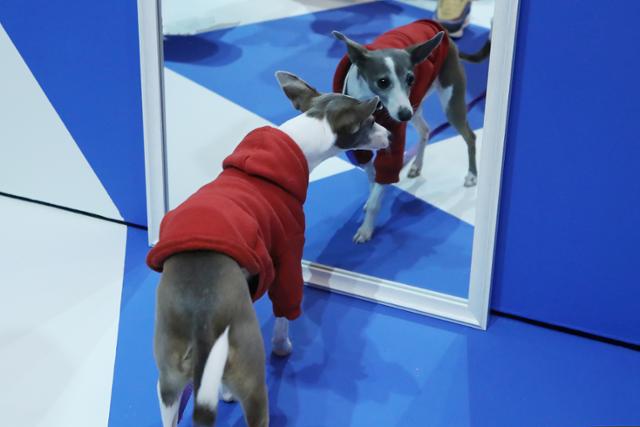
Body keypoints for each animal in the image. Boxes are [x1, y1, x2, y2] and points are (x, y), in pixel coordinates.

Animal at [148, 71, 390, 427]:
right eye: (372, 121)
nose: (390, 134)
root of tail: (201, 317)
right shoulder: (287, 254)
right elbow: (285, 309)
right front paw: (283, 345)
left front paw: (224, 391)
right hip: (253, 383)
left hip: (168, 379)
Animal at [332, 20, 478, 242]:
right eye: (383, 81)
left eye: (410, 79)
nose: (404, 115)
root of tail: (436, 25)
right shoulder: (358, 147)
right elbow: (371, 172)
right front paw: (372, 194)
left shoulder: (394, 139)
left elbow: (382, 177)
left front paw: (366, 228)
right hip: (417, 104)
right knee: (425, 130)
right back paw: (416, 165)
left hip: (447, 103)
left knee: (470, 136)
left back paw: (471, 175)